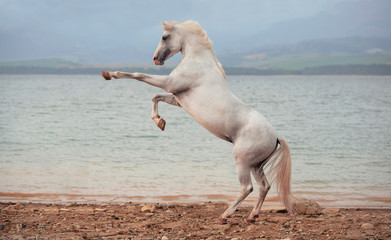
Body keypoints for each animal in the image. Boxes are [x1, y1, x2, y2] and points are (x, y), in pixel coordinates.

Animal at [102, 20, 296, 223]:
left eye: (164, 37)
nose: (156, 59)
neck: (198, 63)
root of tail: (275, 137)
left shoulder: (169, 83)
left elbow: (138, 75)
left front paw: (109, 74)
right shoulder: (177, 98)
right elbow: (155, 97)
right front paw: (160, 122)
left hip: (242, 162)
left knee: (247, 188)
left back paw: (225, 214)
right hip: (256, 165)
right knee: (264, 186)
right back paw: (252, 215)